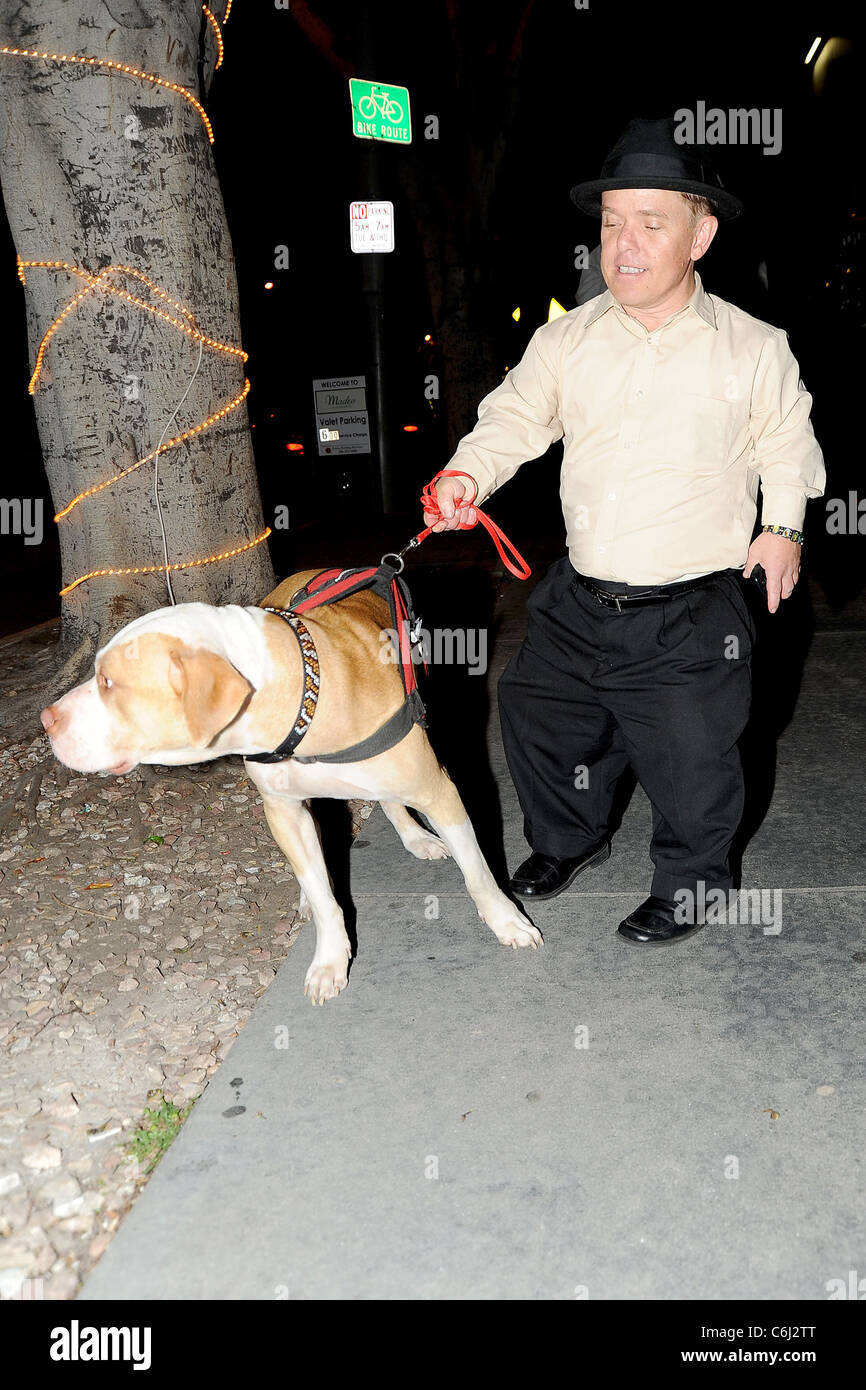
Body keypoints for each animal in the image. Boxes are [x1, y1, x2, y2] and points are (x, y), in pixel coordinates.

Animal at [44, 569, 542, 1006]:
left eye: (109, 682)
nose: (47, 719)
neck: (302, 702)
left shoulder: (439, 790)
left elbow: (477, 871)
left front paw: (507, 922)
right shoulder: (283, 810)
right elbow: (324, 899)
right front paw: (329, 960)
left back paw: (417, 837)